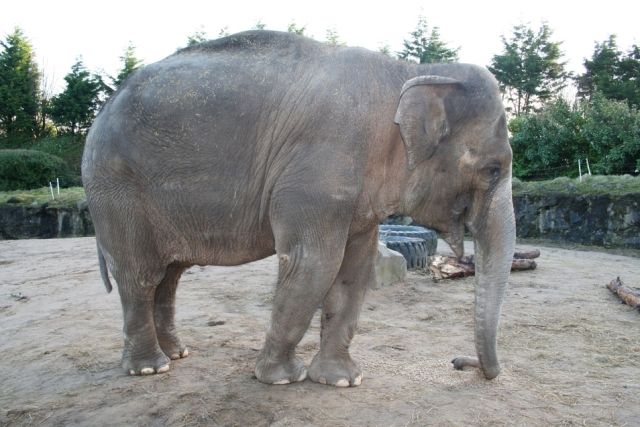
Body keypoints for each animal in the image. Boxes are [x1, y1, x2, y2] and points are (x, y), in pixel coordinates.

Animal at [82, 30, 516, 388]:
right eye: (493, 170)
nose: (460, 363)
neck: (410, 72)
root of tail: (101, 112)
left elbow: (354, 268)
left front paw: (342, 381)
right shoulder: (319, 167)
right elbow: (314, 262)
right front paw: (279, 378)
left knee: (169, 276)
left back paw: (177, 354)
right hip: (116, 188)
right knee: (141, 274)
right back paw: (150, 368)